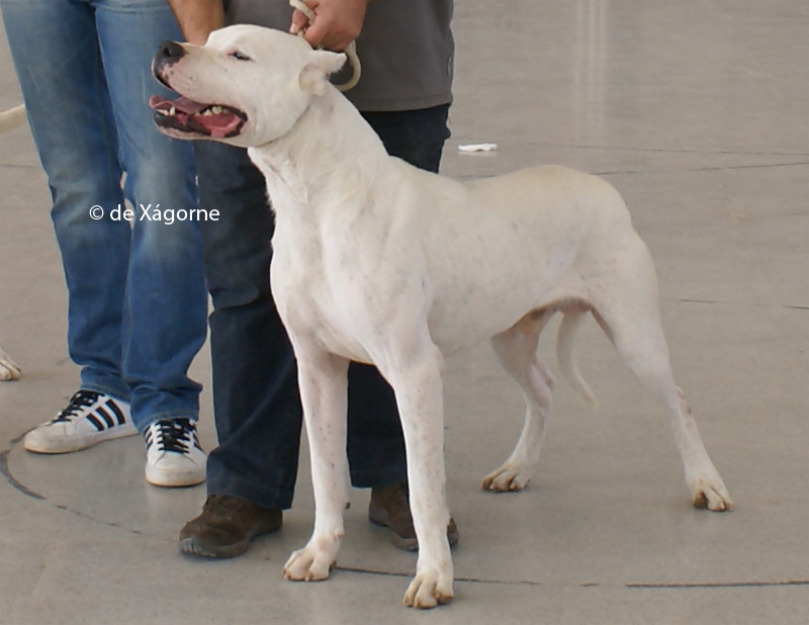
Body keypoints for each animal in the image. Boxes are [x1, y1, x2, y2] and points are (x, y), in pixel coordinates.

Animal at [150, 26, 732, 608]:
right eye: (208, 38)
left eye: (239, 56)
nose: (167, 49)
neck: (314, 201)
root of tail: (605, 190)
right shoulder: (316, 367)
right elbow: (325, 469)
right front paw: (321, 553)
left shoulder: (414, 372)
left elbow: (424, 485)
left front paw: (434, 576)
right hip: (511, 338)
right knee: (543, 390)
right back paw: (517, 469)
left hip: (634, 335)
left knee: (677, 402)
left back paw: (706, 484)